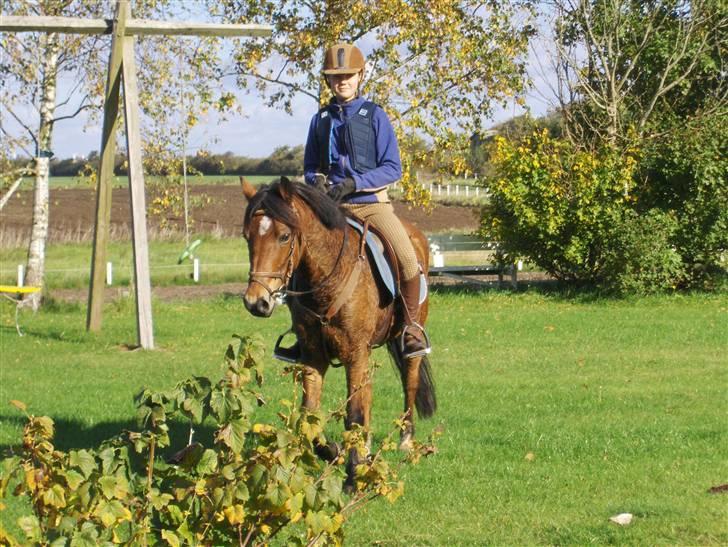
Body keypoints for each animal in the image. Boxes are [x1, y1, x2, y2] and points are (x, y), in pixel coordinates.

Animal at [239, 176, 436, 484]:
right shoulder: (313, 355)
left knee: (410, 380)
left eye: (284, 236)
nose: (256, 302)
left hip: (408, 336)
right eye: (248, 237)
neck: (327, 277)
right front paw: (334, 450)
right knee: (367, 392)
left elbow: (353, 412)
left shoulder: (354, 353)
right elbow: (308, 414)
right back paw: (365, 443)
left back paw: (405, 437)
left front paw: (353, 475)